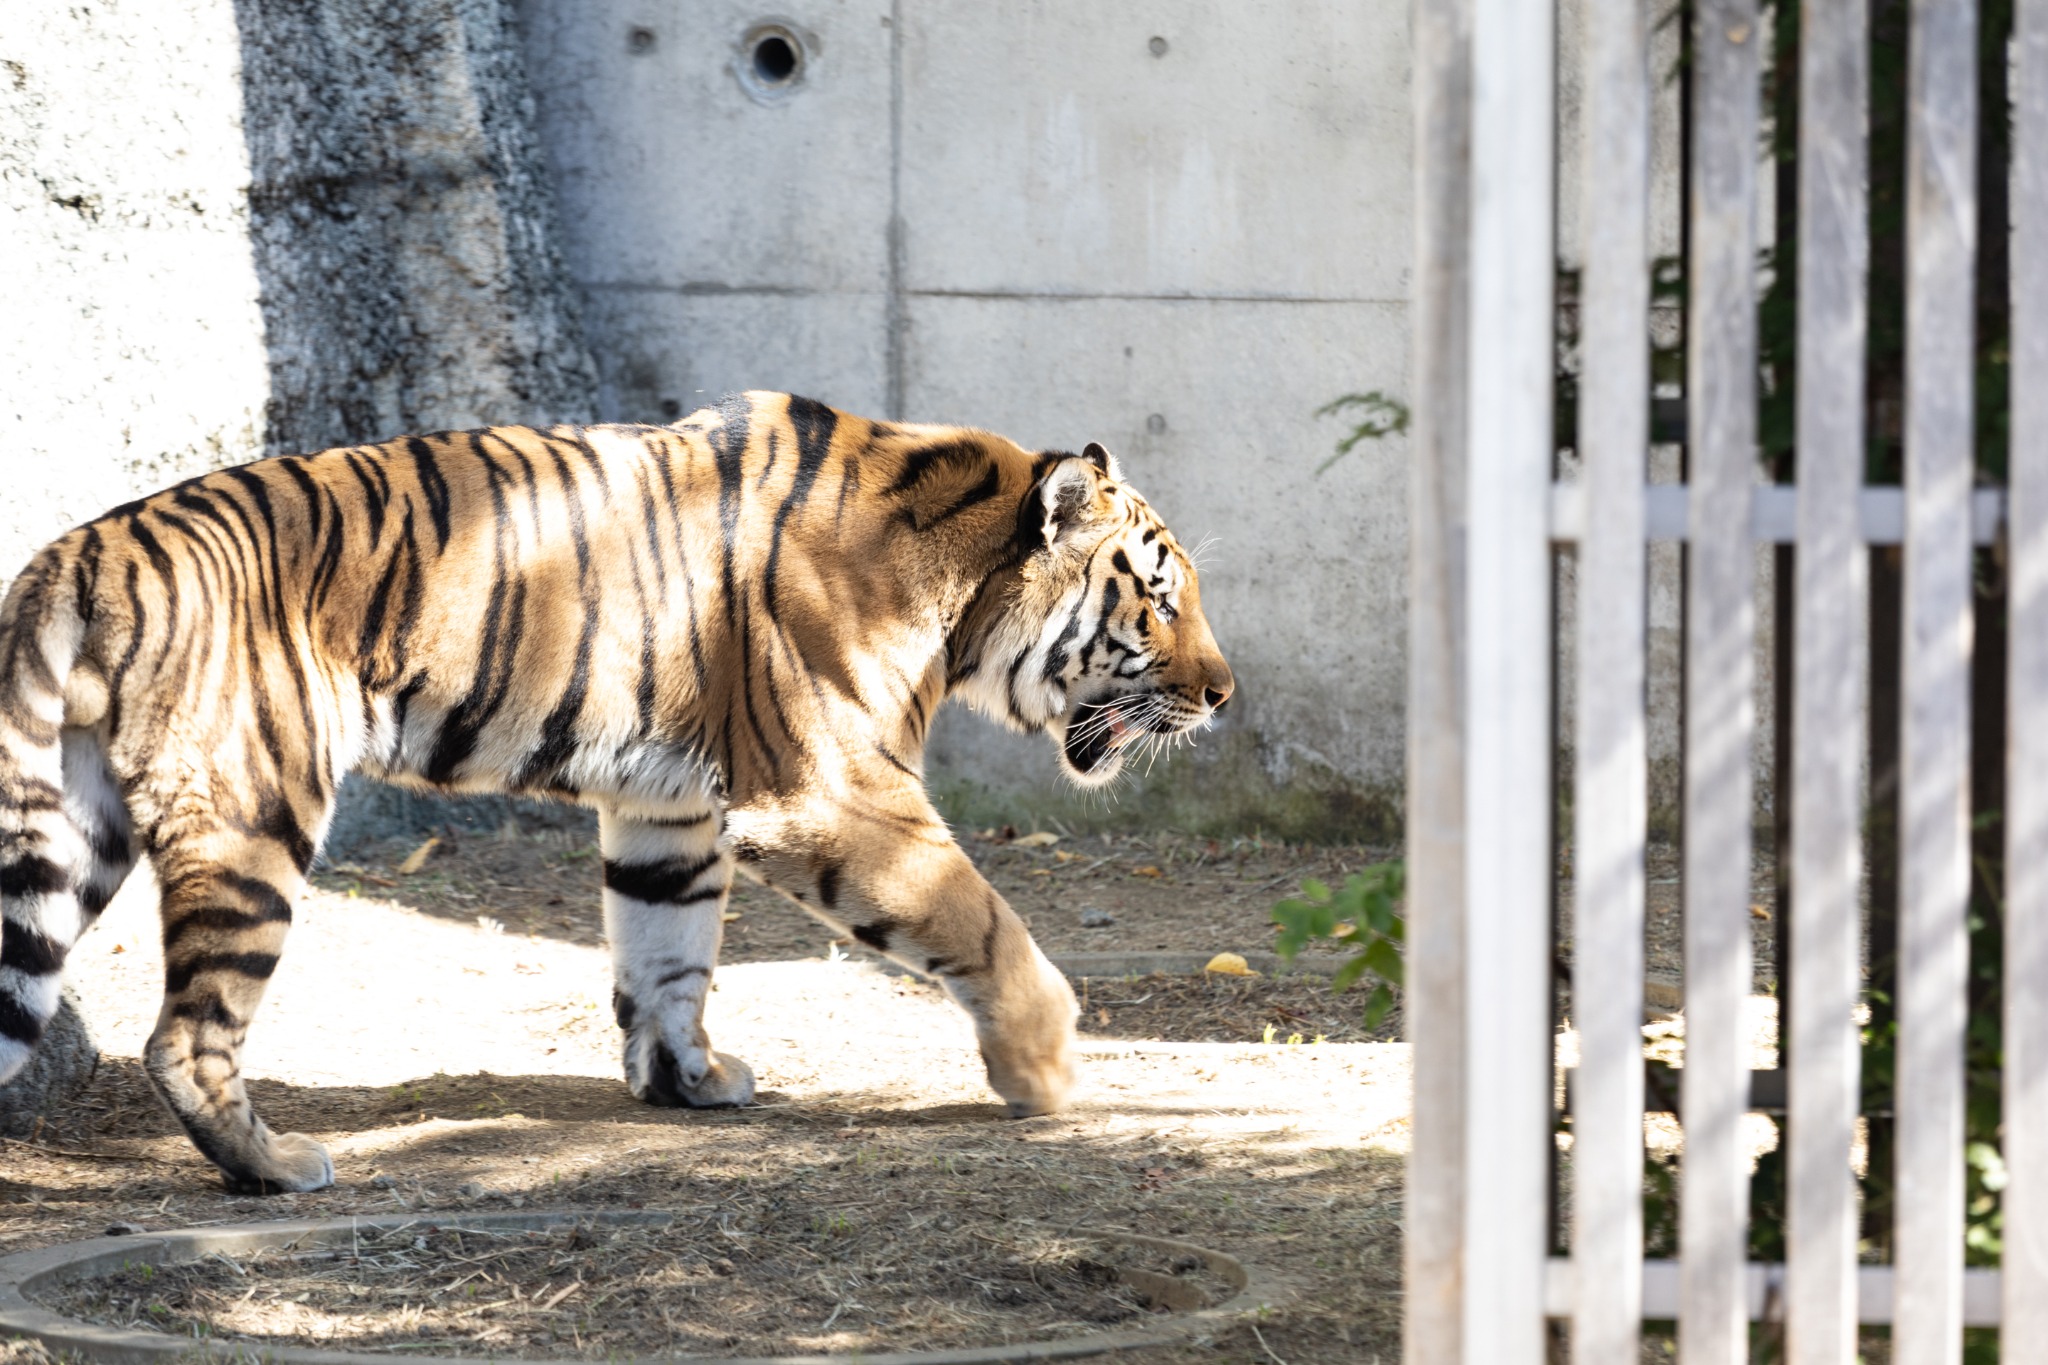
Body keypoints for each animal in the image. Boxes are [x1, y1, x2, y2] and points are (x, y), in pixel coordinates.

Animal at [0, 391, 1233, 1193]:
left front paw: (689, 1080)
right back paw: (279, 1166)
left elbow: (668, 950)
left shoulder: (668, 808)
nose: (1223, 692)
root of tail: (75, 554)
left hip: (73, 830)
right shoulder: (836, 790)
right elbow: (982, 919)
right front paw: (1052, 1067)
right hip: (252, 814)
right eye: (1159, 598)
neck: (958, 582)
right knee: (186, 1035)